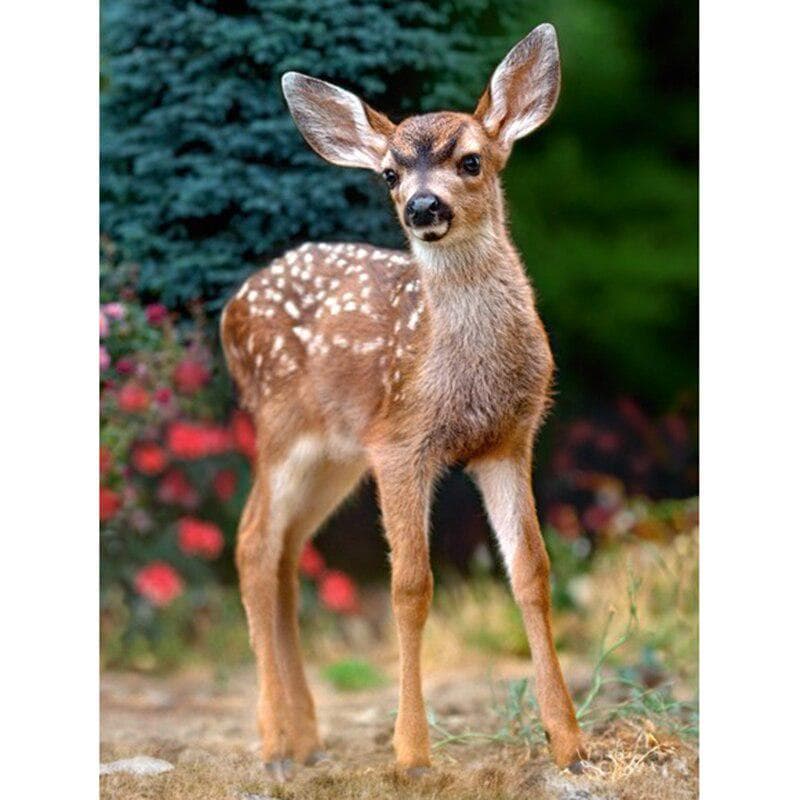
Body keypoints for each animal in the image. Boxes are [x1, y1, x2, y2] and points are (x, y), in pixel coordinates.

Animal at [221, 23, 585, 780]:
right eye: (389, 174)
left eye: (471, 160)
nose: (423, 207)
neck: (467, 374)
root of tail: (229, 313)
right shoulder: (400, 443)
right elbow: (410, 587)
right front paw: (413, 754)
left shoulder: (509, 442)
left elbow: (532, 573)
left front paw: (568, 743)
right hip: (281, 429)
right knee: (253, 544)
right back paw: (273, 742)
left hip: (334, 458)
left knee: (286, 553)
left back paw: (306, 736)